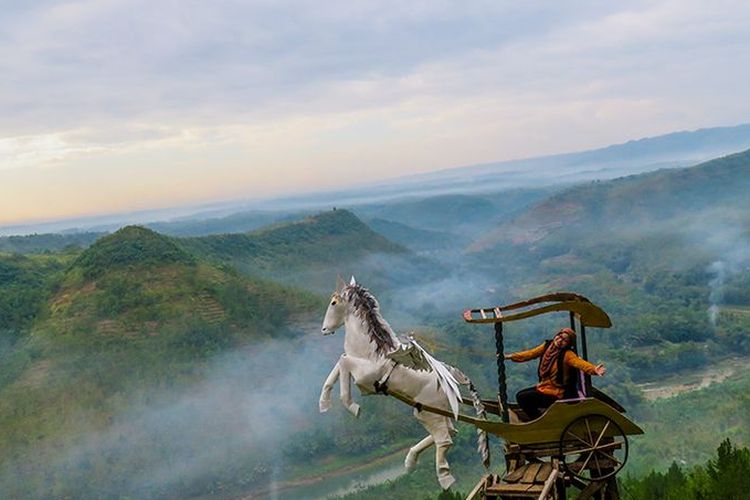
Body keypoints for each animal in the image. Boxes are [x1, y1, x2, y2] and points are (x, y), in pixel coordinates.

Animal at [318, 280, 490, 490]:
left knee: (445, 440)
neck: (370, 352)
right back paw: (410, 461)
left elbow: (343, 365)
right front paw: (324, 403)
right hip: (432, 410)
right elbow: (339, 364)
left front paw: (352, 407)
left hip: (430, 413)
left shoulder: (364, 380)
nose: (324, 330)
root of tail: (452, 380)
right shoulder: (354, 365)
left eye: (334, 303)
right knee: (450, 432)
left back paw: (444, 477)